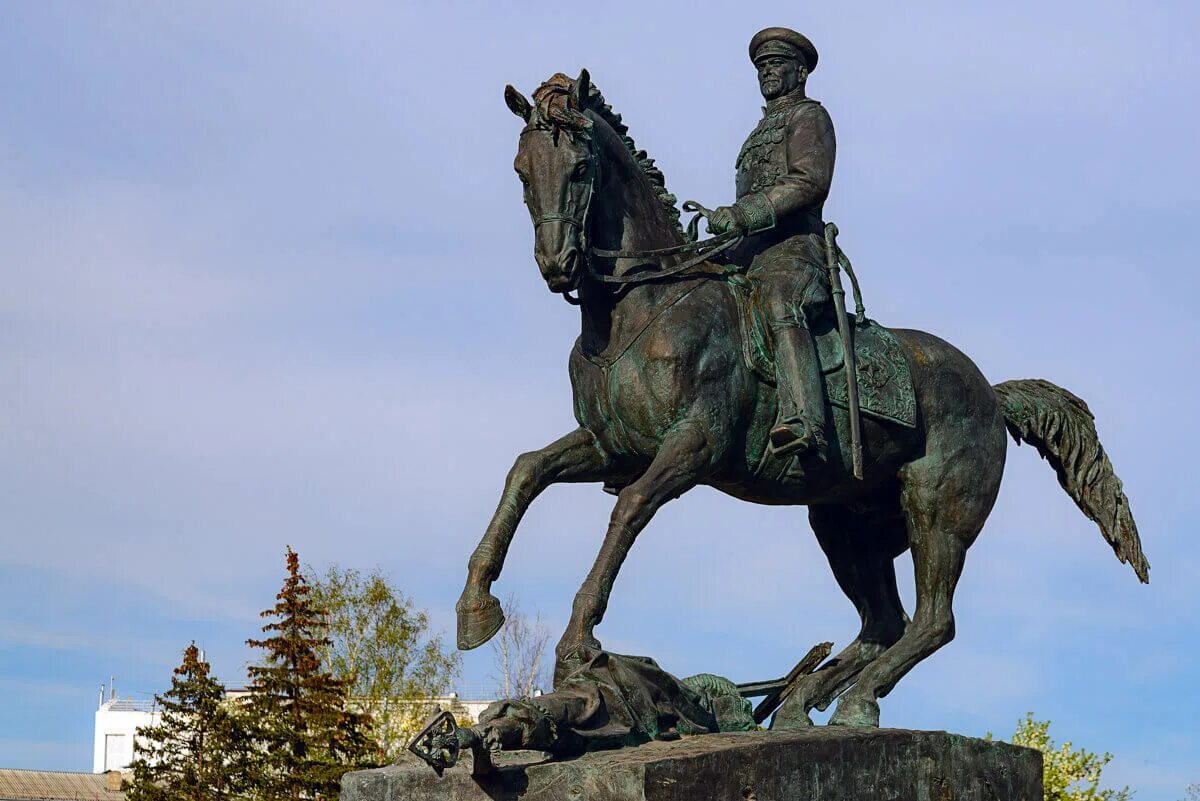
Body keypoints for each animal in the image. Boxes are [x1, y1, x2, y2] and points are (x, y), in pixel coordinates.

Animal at [453, 71, 1147, 729]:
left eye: (580, 166)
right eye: (522, 169)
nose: (558, 265)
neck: (642, 309)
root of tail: (991, 396)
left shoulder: (691, 448)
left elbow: (627, 510)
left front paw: (577, 643)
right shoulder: (613, 446)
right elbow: (526, 471)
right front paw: (476, 608)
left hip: (937, 510)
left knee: (933, 621)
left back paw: (854, 703)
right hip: (843, 522)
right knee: (883, 624)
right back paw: (798, 705)